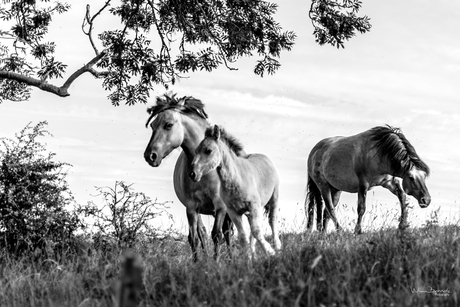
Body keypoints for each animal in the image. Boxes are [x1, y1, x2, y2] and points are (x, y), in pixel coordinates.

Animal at [144, 94, 234, 262]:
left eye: (168, 125)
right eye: (152, 126)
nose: (150, 156)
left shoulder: (220, 206)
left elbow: (217, 235)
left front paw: (216, 262)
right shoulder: (191, 207)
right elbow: (194, 238)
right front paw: (197, 263)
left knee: (228, 234)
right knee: (204, 233)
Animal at [190, 125, 282, 258]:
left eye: (208, 150)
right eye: (196, 151)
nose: (193, 174)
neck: (236, 178)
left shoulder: (253, 206)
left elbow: (257, 231)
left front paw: (270, 252)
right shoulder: (233, 211)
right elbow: (243, 236)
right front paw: (248, 259)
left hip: (273, 199)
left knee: (272, 222)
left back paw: (277, 248)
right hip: (252, 212)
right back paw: (254, 254)